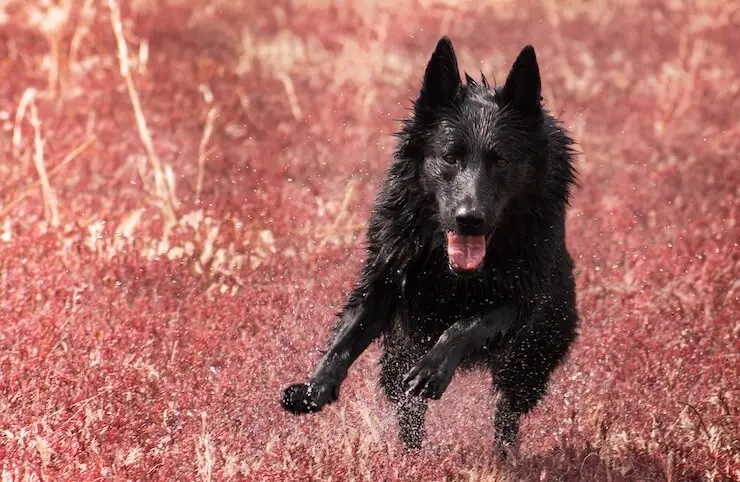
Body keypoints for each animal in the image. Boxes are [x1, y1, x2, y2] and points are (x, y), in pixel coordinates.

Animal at [280, 36, 580, 452]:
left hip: (532, 357)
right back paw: (411, 456)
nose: (469, 218)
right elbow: (346, 338)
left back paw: (504, 456)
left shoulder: (519, 299)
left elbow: (467, 324)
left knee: (507, 412)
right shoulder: (387, 277)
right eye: (450, 157)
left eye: (501, 161)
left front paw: (433, 369)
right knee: (408, 409)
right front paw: (315, 387)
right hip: (398, 357)